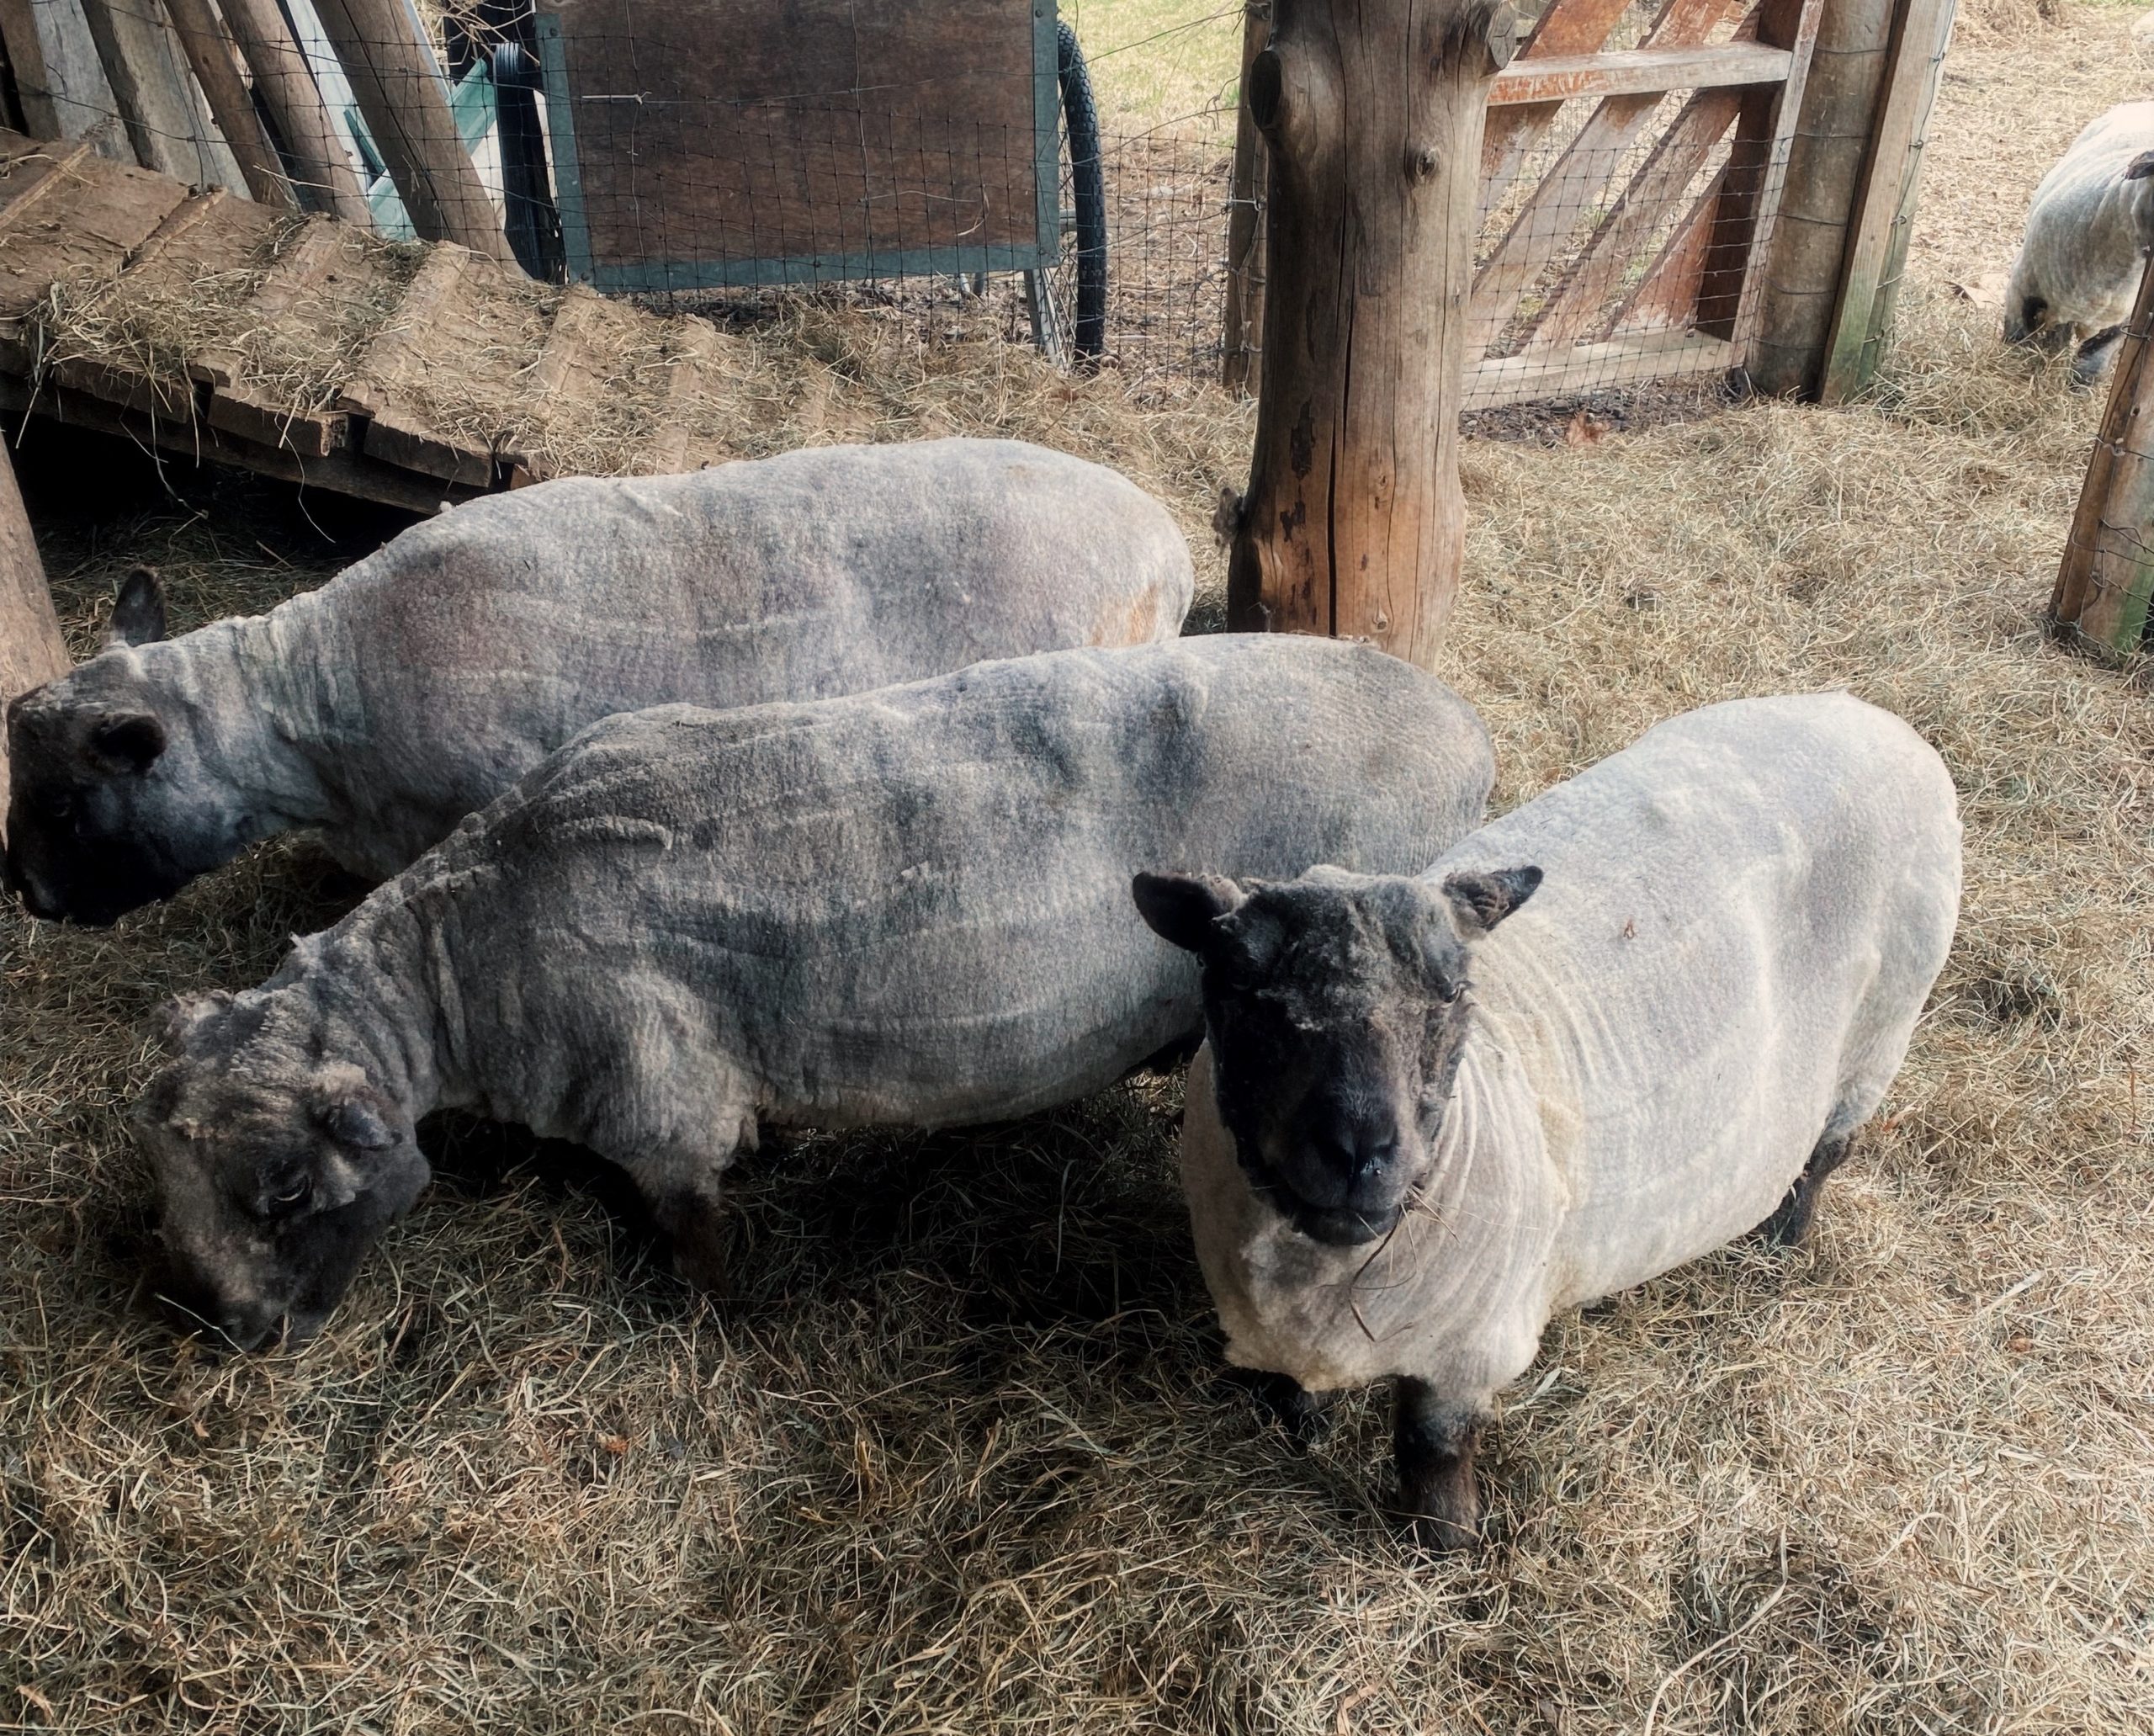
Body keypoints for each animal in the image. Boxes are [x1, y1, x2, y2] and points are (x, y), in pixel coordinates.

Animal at [132, 634, 1495, 1351]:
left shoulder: (661, 1111)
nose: (229, 1332)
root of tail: (1463, 719)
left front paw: (719, 1317)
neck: (468, 948)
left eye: (284, 1189)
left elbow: (696, 1236)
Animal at [1134, 693, 1961, 1552]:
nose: (1360, 1152)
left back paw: (1781, 1241)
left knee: (1828, 1151)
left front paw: (1447, 1548)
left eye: (1454, 992)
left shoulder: (1471, 1348)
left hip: (1879, 1036)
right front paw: (1297, 1426)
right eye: (1242, 991)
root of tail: (1871, 714)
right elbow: (1295, 1391)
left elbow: (1433, 1449)